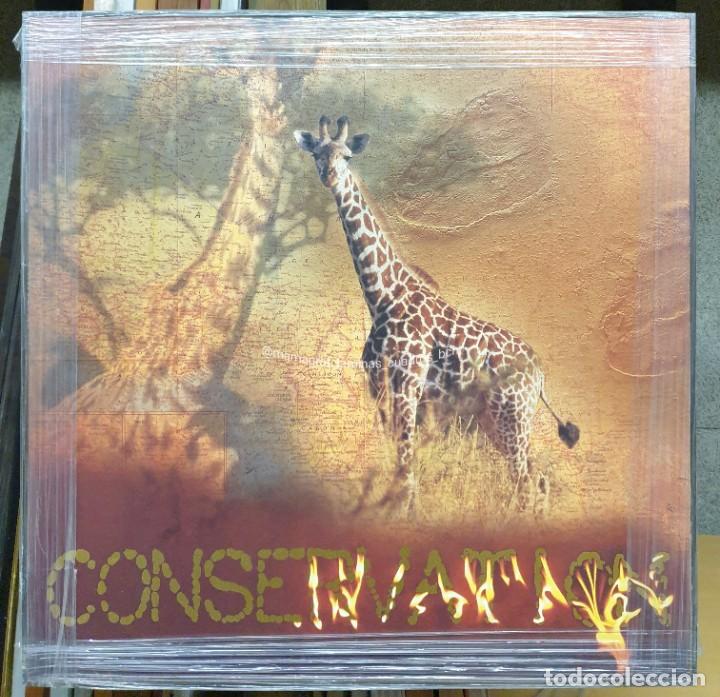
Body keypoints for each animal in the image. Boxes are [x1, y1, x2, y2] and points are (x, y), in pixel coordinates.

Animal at [294, 115, 580, 513]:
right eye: (317, 154)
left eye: (347, 155)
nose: (330, 176)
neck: (382, 296)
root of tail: (540, 377)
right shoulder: (379, 389)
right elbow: (399, 464)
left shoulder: (407, 387)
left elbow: (407, 466)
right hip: (492, 421)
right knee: (536, 477)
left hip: (512, 417)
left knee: (526, 480)